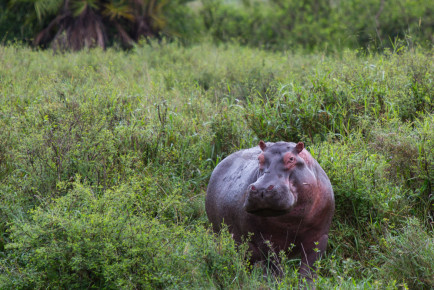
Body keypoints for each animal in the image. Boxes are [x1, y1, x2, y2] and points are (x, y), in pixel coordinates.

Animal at [205, 142, 334, 280]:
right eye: (259, 158)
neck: (291, 221)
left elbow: (309, 270)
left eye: (291, 159)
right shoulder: (264, 240)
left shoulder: (319, 237)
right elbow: (274, 268)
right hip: (220, 234)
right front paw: (278, 282)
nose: (262, 188)